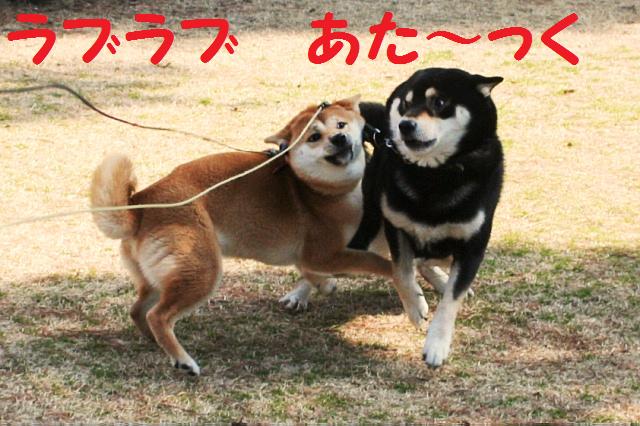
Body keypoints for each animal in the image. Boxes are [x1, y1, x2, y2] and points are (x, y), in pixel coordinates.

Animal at [90, 96, 394, 375]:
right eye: (314, 137)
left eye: (341, 125)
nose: (340, 138)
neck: (316, 188)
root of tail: (141, 206)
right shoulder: (325, 252)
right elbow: (375, 262)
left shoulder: (310, 256)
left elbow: (310, 272)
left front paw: (323, 286)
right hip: (203, 270)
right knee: (158, 315)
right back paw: (183, 360)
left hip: (159, 277)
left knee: (138, 309)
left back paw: (156, 343)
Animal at [349, 68, 504, 367]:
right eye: (405, 104)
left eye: (439, 103)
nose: (404, 125)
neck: (434, 175)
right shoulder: (395, 227)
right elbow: (401, 271)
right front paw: (415, 307)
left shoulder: (472, 246)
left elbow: (451, 300)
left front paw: (436, 344)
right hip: (370, 225)